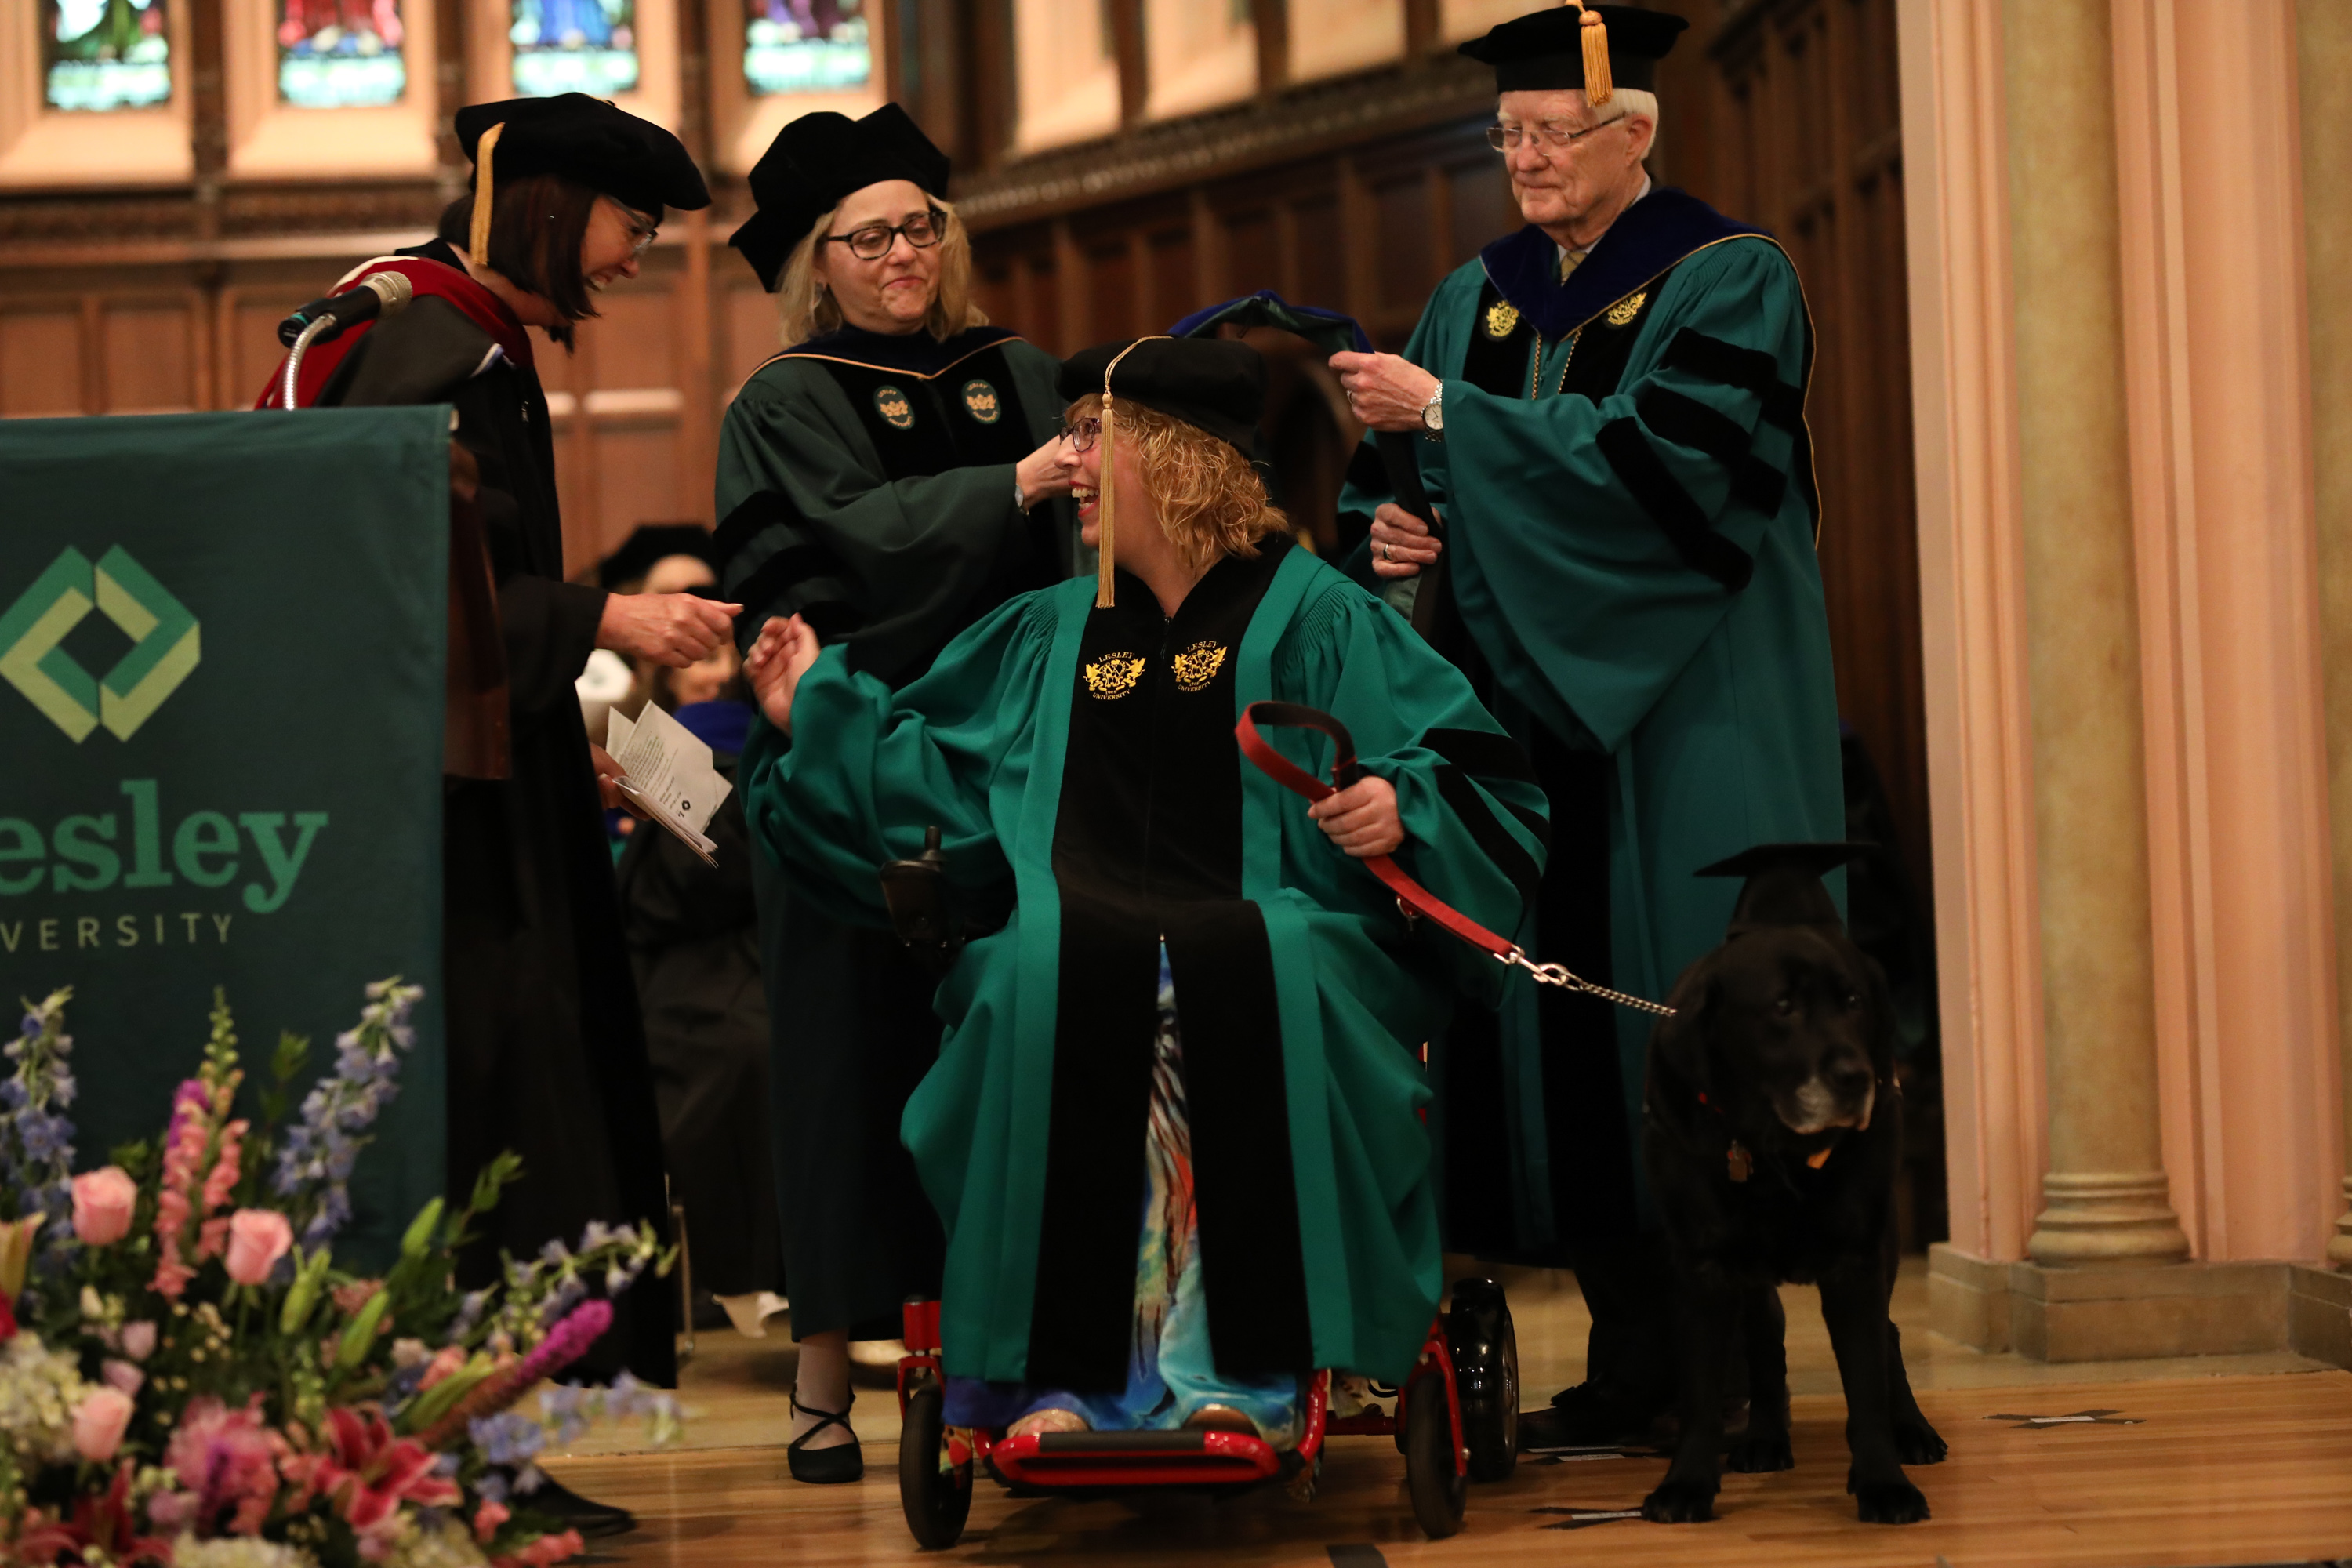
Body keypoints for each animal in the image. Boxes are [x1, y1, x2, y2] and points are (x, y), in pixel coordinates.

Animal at [1637, 841, 1947, 1523]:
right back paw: (1764, 1438)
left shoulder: (1858, 1261)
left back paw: (1914, 1430)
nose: (1856, 1077)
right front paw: (1687, 1483)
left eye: (1854, 1002)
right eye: (1783, 1007)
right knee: (1765, 1344)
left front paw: (1884, 1481)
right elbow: (1703, 1392)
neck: (1772, 1148)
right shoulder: (1702, 1269)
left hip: (1884, 1243)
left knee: (1889, 1338)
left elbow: (1866, 1382)